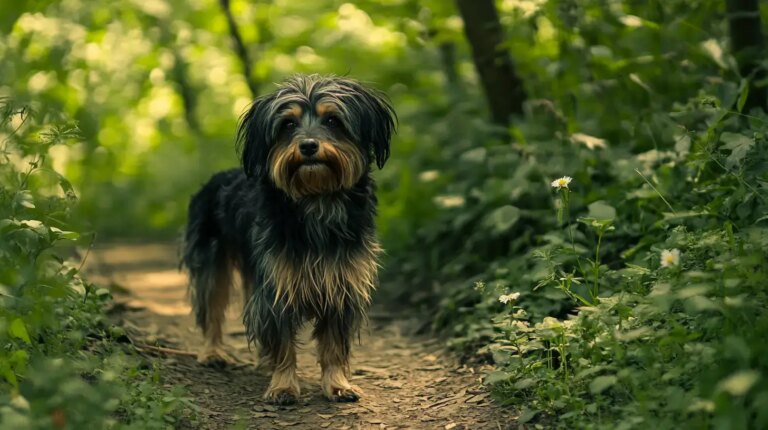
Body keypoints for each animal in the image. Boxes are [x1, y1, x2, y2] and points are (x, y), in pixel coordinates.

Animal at [181, 74, 396, 406]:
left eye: (332, 120)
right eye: (288, 124)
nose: (308, 145)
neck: (316, 200)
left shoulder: (341, 285)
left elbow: (333, 345)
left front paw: (337, 384)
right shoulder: (276, 287)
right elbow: (281, 340)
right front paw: (283, 386)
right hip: (212, 262)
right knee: (212, 309)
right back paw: (213, 351)